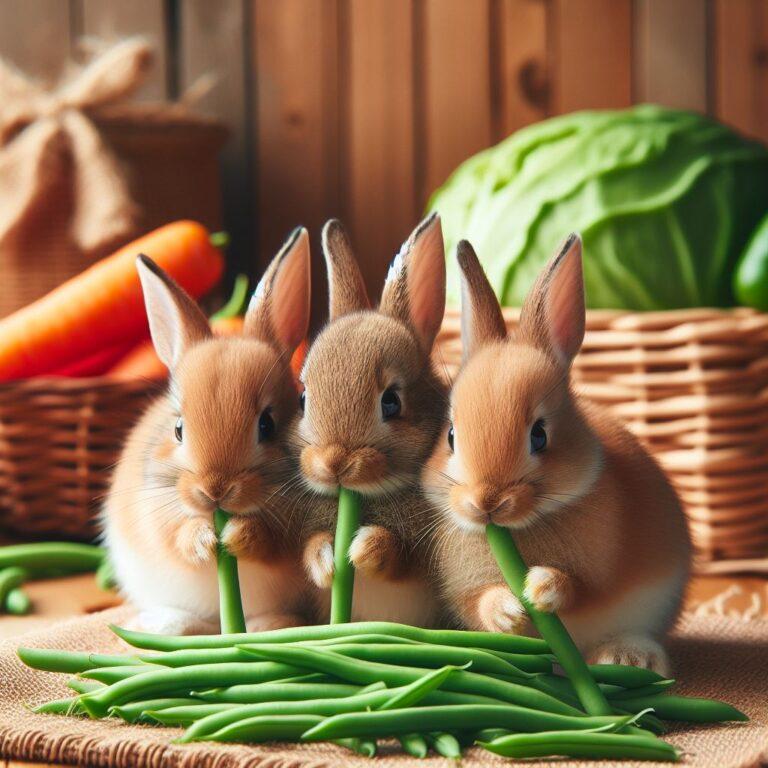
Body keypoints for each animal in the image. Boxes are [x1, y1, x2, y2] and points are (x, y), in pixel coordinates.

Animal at [102, 228, 312, 636]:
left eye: (267, 425)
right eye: (178, 429)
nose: (215, 490)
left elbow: (272, 542)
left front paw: (237, 536)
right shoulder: (157, 510)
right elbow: (175, 537)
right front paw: (203, 540)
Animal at [292, 213, 450, 628]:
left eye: (391, 402)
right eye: (303, 399)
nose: (334, 463)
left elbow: (399, 558)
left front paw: (363, 549)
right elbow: (310, 547)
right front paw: (326, 560)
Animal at [424, 234, 692, 672]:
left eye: (539, 436)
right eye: (450, 435)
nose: (486, 502)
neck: (521, 527)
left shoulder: (597, 574)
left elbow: (579, 588)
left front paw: (540, 589)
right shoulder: (463, 587)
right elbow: (478, 601)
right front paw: (507, 610)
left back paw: (630, 659)